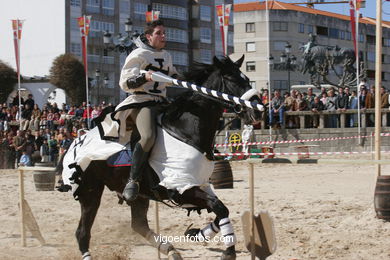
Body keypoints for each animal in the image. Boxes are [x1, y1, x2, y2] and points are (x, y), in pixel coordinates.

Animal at [62, 55, 264, 258]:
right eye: (230, 79)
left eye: (246, 78)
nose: (258, 110)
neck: (185, 132)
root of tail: (76, 142)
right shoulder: (182, 188)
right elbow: (219, 207)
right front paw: (228, 251)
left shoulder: (201, 185)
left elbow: (221, 209)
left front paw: (196, 234)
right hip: (90, 191)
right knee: (82, 232)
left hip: (138, 195)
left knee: (138, 225)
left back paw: (170, 250)